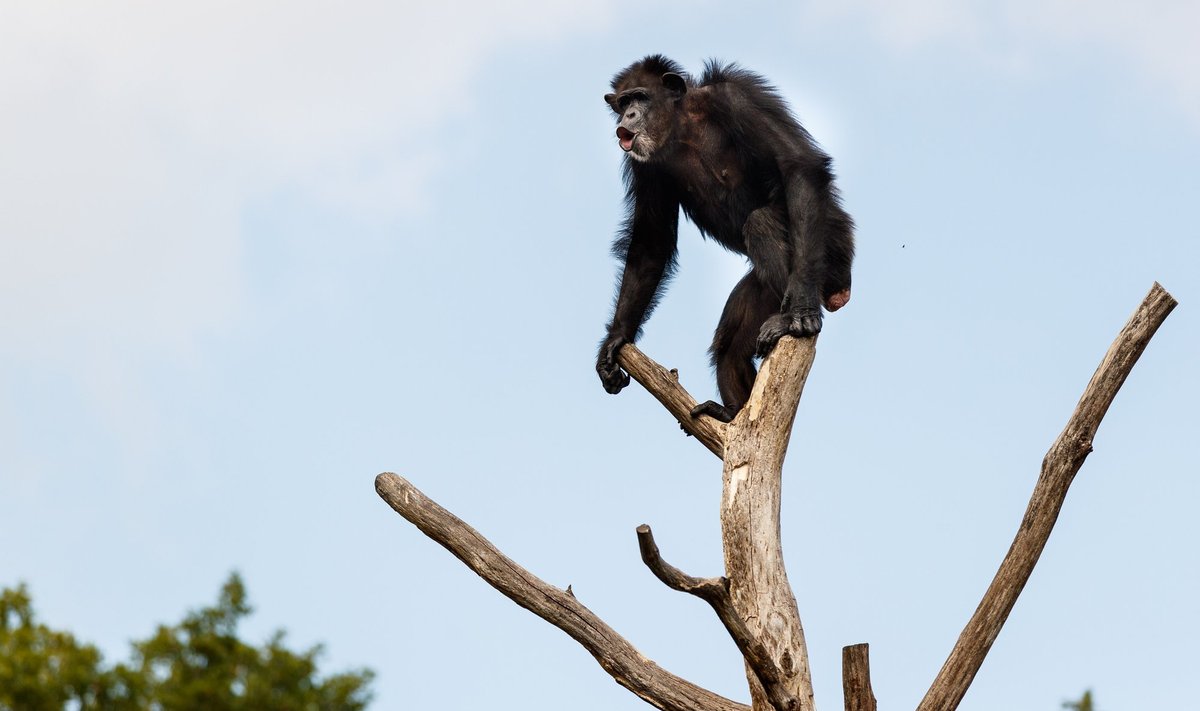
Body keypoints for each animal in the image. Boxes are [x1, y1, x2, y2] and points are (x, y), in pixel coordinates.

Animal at [592, 57, 854, 422]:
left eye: (640, 97)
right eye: (622, 101)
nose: (627, 116)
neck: (681, 124)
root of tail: (841, 288)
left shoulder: (736, 97)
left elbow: (798, 165)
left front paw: (800, 309)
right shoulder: (644, 166)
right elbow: (651, 241)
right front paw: (615, 341)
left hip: (830, 252)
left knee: (761, 222)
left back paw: (790, 319)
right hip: (759, 291)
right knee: (730, 347)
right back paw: (731, 413)